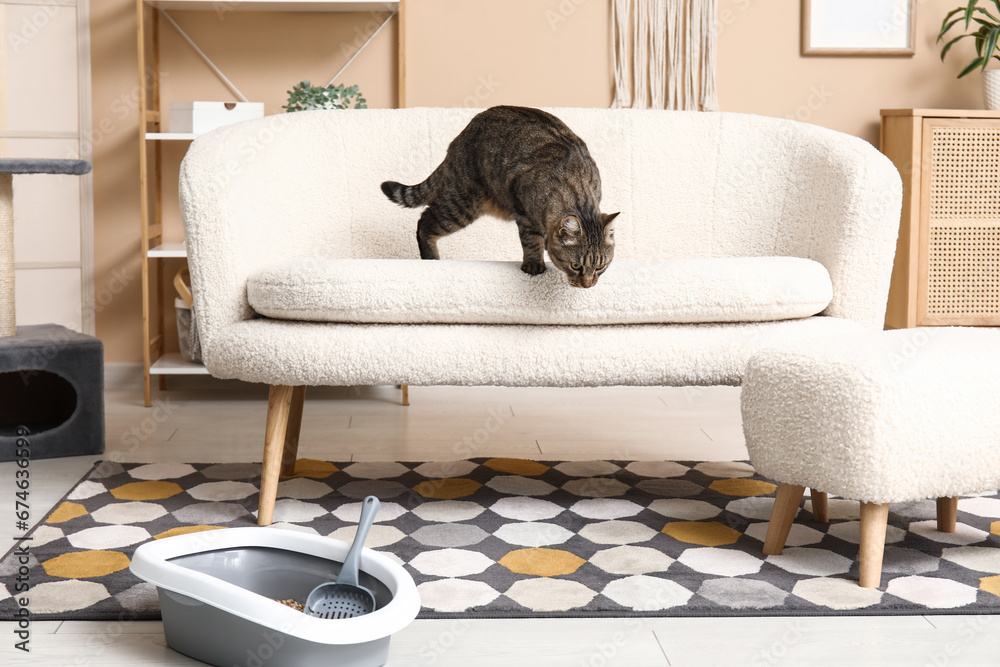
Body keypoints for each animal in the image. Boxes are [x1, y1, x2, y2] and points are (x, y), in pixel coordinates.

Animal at [380, 105, 616, 288]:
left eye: (600, 266)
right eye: (576, 265)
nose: (588, 284)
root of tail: (461, 136)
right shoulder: (524, 212)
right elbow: (531, 241)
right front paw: (534, 263)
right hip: (462, 203)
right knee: (424, 222)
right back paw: (431, 259)